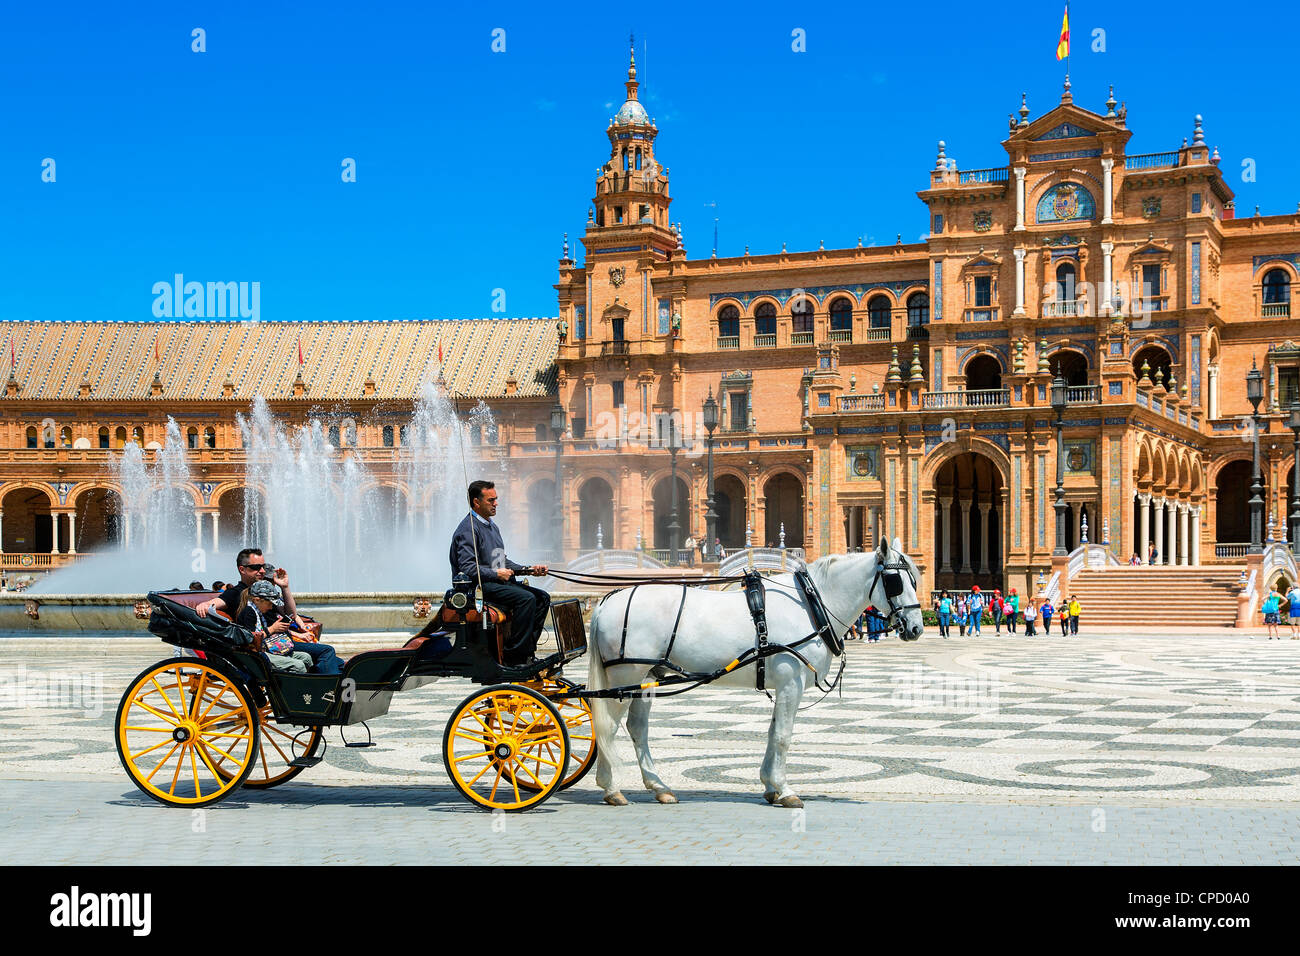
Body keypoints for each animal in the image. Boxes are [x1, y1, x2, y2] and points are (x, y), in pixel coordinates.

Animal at [590, 538, 925, 806]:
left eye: (915, 580)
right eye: (895, 581)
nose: (916, 628)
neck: (812, 603)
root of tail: (606, 601)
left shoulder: (785, 686)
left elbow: (772, 732)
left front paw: (770, 786)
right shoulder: (791, 683)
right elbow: (783, 736)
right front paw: (785, 789)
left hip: (647, 678)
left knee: (636, 728)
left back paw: (659, 786)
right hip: (626, 677)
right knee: (607, 726)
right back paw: (611, 788)